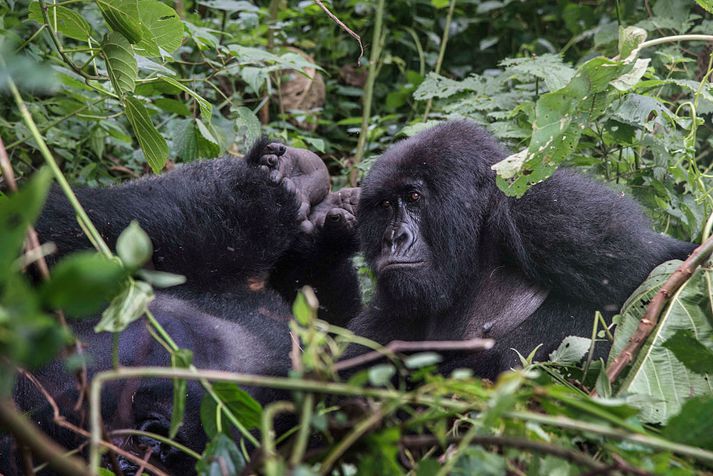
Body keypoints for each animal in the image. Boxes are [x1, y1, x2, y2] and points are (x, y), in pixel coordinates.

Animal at [348, 118, 692, 376]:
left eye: (414, 198)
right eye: (385, 205)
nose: (394, 238)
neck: (479, 231)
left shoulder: (557, 216)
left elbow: (658, 271)